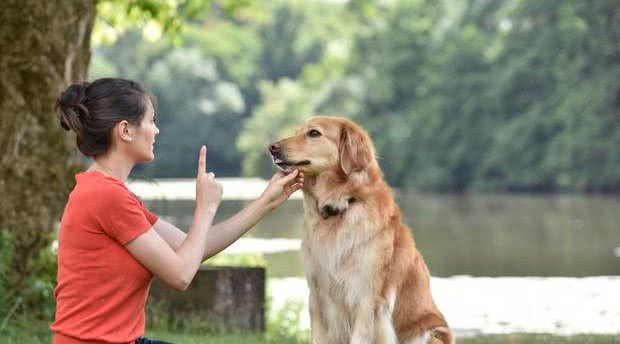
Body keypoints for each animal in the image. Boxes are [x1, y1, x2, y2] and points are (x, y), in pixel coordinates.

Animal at [268, 116, 452, 344]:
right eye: (296, 132)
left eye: (314, 133)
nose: (271, 147)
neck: (342, 205)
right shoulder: (318, 298)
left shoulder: (367, 300)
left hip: (429, 334)